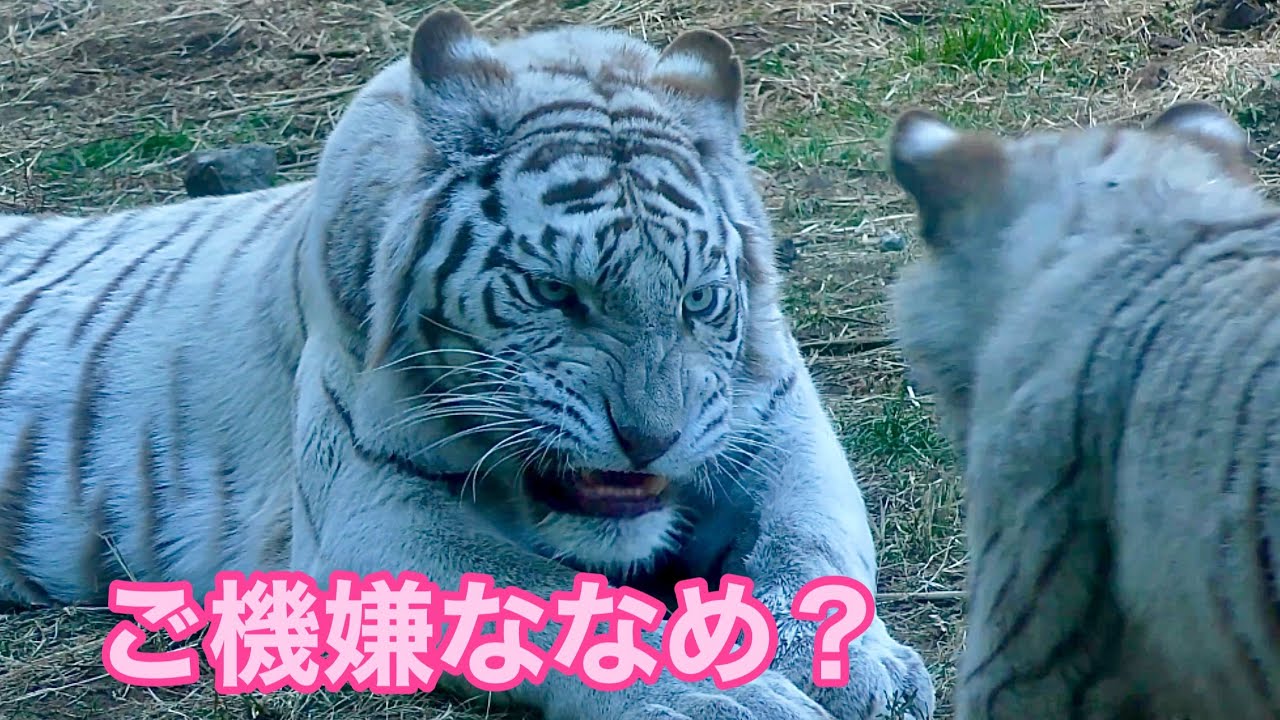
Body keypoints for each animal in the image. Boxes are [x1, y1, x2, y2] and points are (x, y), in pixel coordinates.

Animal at [0, 8, 935, 720]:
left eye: (697, 300)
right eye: (556, 293)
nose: (649, 441)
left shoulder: (781, 428)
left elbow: (806, 545)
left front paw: (860, 669)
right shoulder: (376, 511)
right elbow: (551, 604)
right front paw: (729, 700)